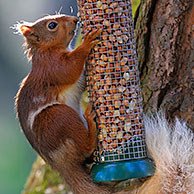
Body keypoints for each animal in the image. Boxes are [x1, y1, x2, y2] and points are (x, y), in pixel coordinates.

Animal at [14, 14, 115, 194]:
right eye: (52, 25)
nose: (75, 19)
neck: (47, 50)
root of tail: (61, 166)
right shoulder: (52, 67)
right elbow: (70, 68)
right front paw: (87, 43)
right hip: (58, 117)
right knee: (86, 146)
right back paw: (90, 120)